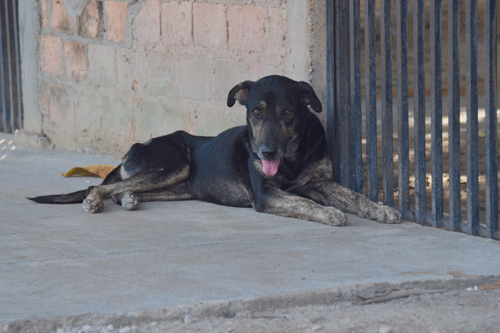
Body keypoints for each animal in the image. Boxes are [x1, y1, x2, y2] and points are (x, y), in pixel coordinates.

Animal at [28, 75, 402, 226]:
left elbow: (355, 196)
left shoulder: (321, 182)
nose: (266, 153)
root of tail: (137, 145)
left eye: (287, 112)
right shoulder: (266, 194)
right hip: (173, 163)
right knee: (99, 185)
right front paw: (329, 214)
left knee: (123, 189)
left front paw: (381, 209)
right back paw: (94, 200)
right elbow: (303, 203)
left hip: (178, 187)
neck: (292, 156)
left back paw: (128, 199)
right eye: (256, 112)